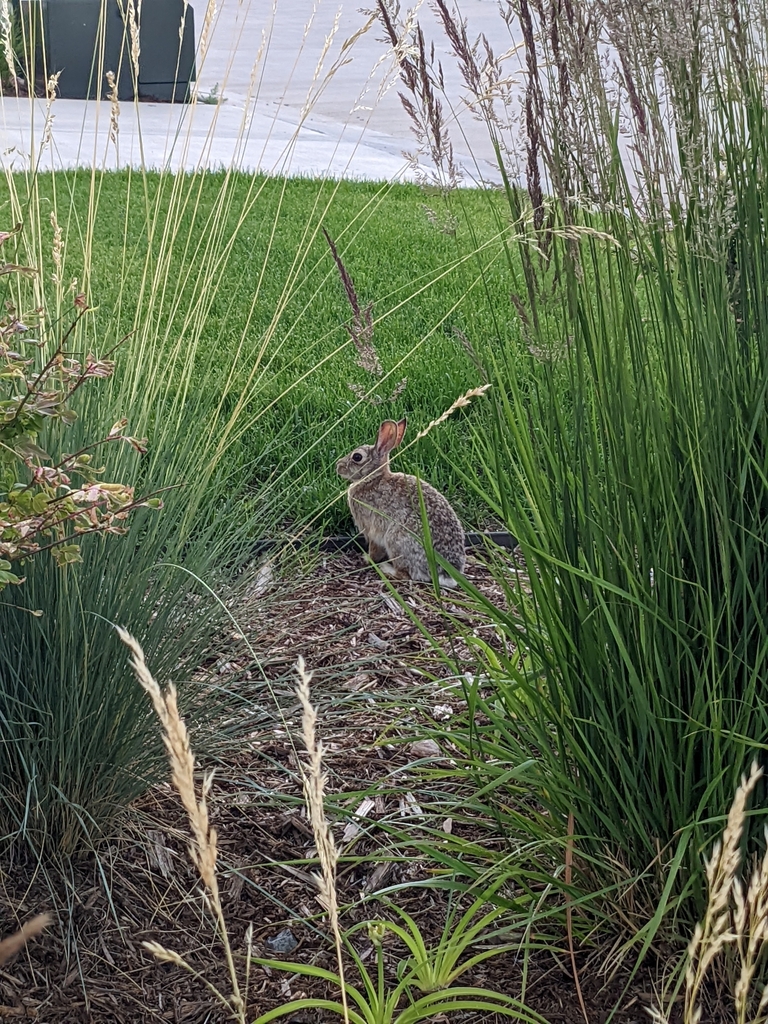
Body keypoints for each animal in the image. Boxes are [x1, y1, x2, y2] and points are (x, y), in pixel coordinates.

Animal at [336, 418, 465, 587]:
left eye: (357, 457)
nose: (338, 466)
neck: (373, 478)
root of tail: (444, 574)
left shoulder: (372, 528)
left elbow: (374, 548)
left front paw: (367, 558)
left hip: (396, 540)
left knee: (404, 574)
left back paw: (386, 569)